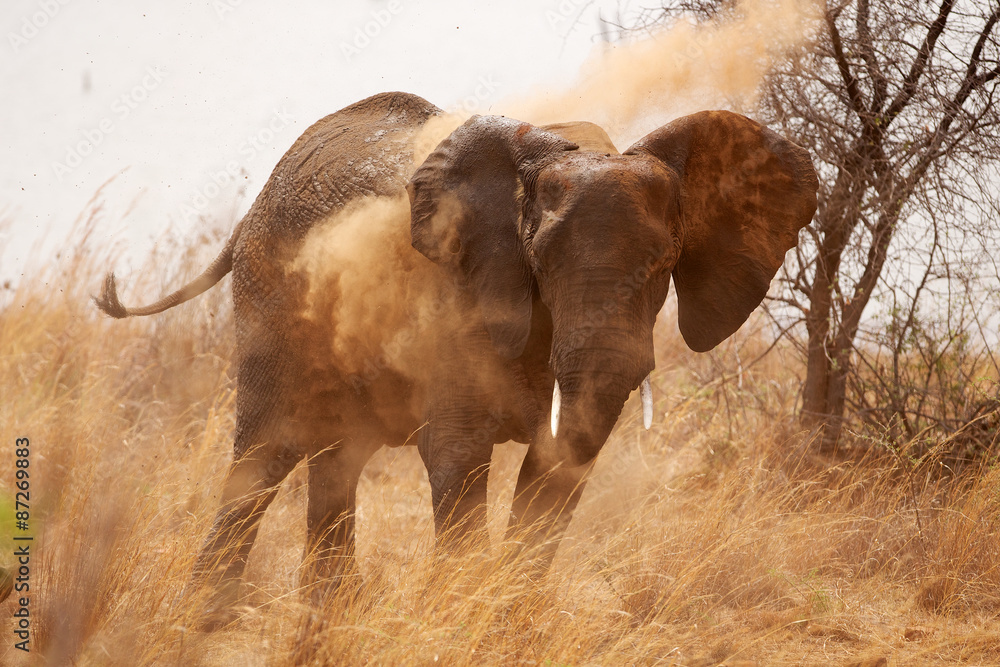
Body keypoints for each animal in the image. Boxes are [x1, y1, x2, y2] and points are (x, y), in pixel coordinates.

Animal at [95, 91, 817, 614]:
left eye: (665, 263)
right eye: (538, 260)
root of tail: (250, 214)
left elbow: (556, 468)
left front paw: (510, 617)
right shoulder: (457, 293)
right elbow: (458, 454)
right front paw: (465, 613)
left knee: (335, 457)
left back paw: (331, 614)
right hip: (271, 301)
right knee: (266, 451)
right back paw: (208, 616)